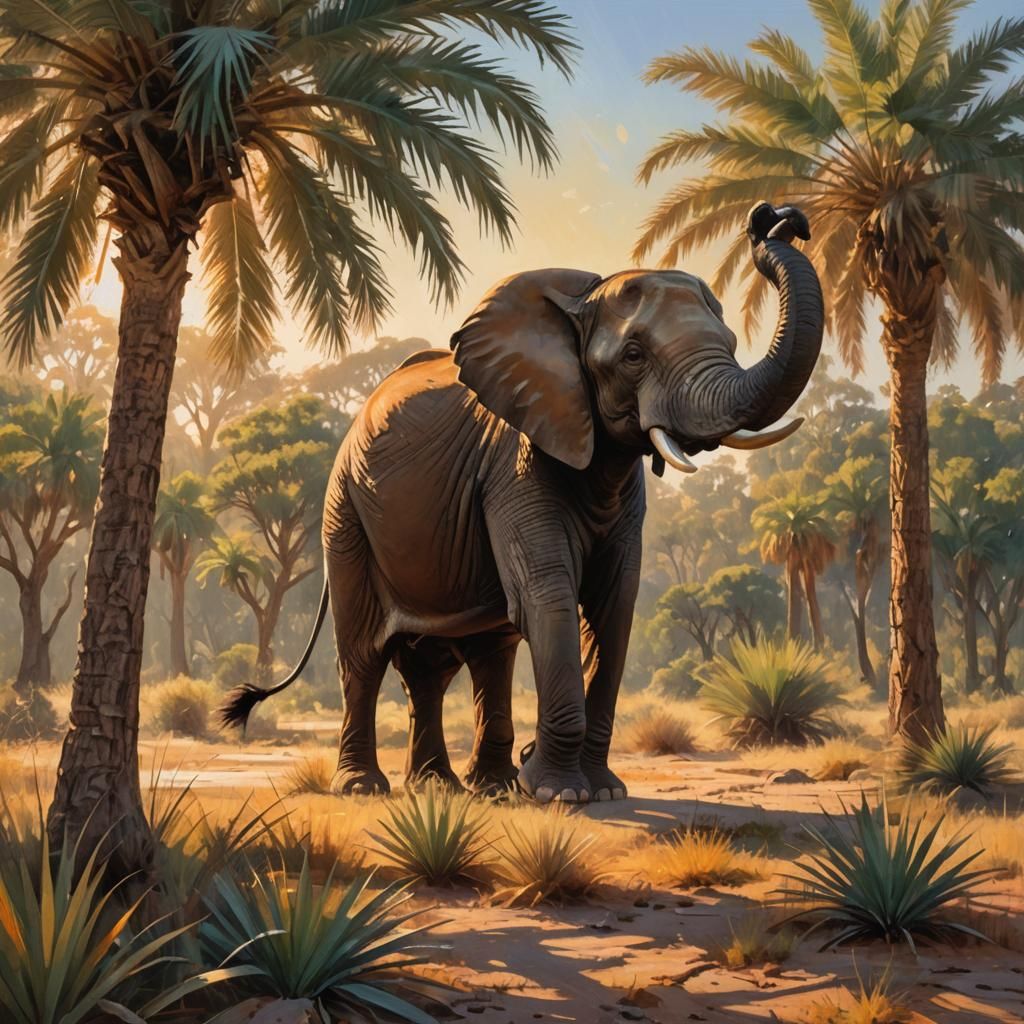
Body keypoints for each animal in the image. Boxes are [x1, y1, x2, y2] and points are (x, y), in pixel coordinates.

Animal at [221, 201, 824, 804]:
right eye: (633, 355)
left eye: (731, 342)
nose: (775, 219)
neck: (579, 305)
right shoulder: (513, 462)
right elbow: (547, 592)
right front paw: (562, 794)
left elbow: (614, 604)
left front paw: (601, 791)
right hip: (345, 511)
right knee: (365, 653)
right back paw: (366, 788)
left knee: (469, 657)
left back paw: (466, 787)